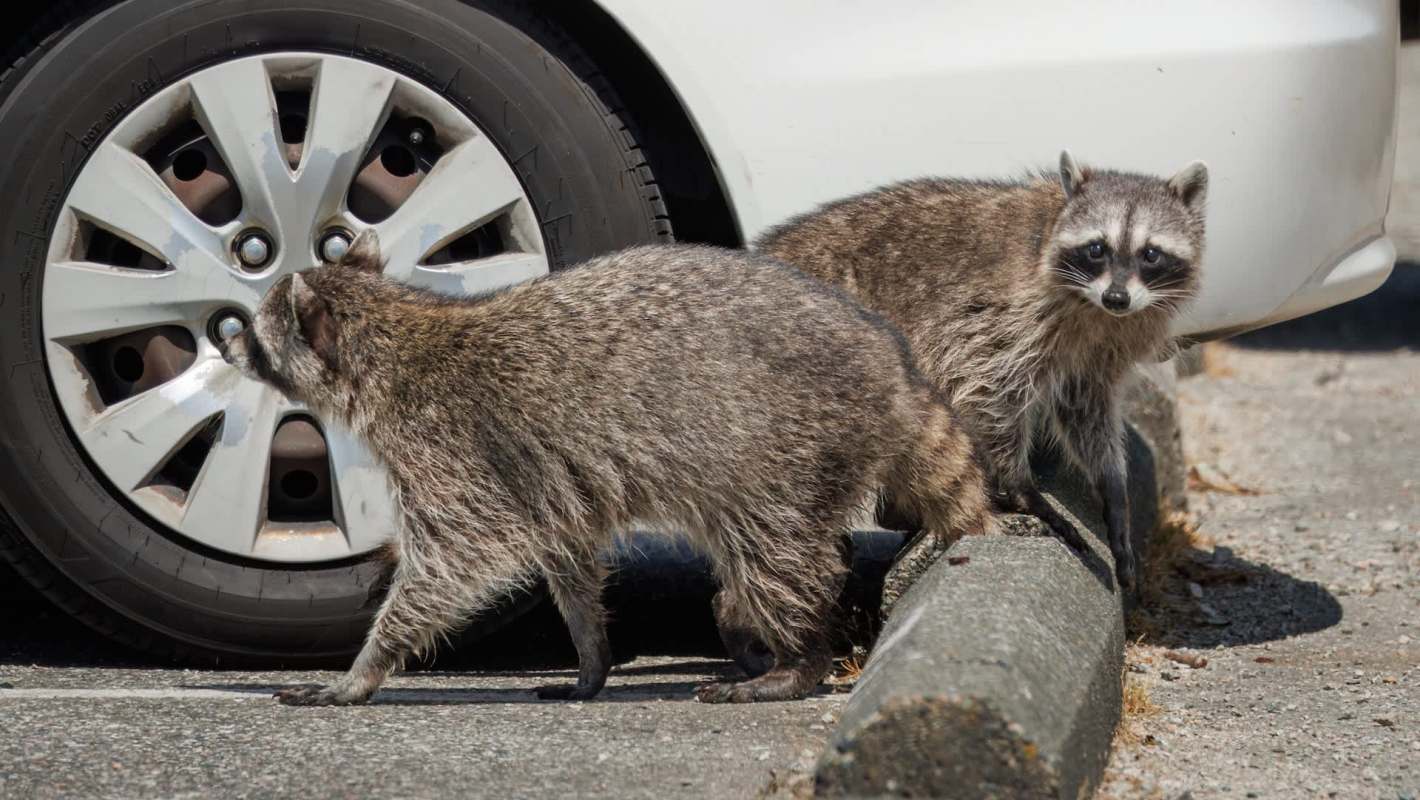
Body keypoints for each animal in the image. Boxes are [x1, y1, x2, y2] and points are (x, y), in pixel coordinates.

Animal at [223, 233, 989, 706]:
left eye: (255, 332)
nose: (222, 340)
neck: (391, 331)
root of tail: (894, 370)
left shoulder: (451, 448)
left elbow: (453, 562)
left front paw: (368, 663)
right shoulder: (539, 480)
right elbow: (566, 555)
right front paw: (591, 652)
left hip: (784, 446)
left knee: (774, 556)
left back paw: (799, 660)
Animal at [754, 152, 1207, 592]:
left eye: (1151, 253)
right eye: (1097, 248)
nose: (1116, 297)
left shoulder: (1106, 345)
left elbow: (1085, 409)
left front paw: (1112, 488)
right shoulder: (1009, 314)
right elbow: (990, 388)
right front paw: (1021, 485)